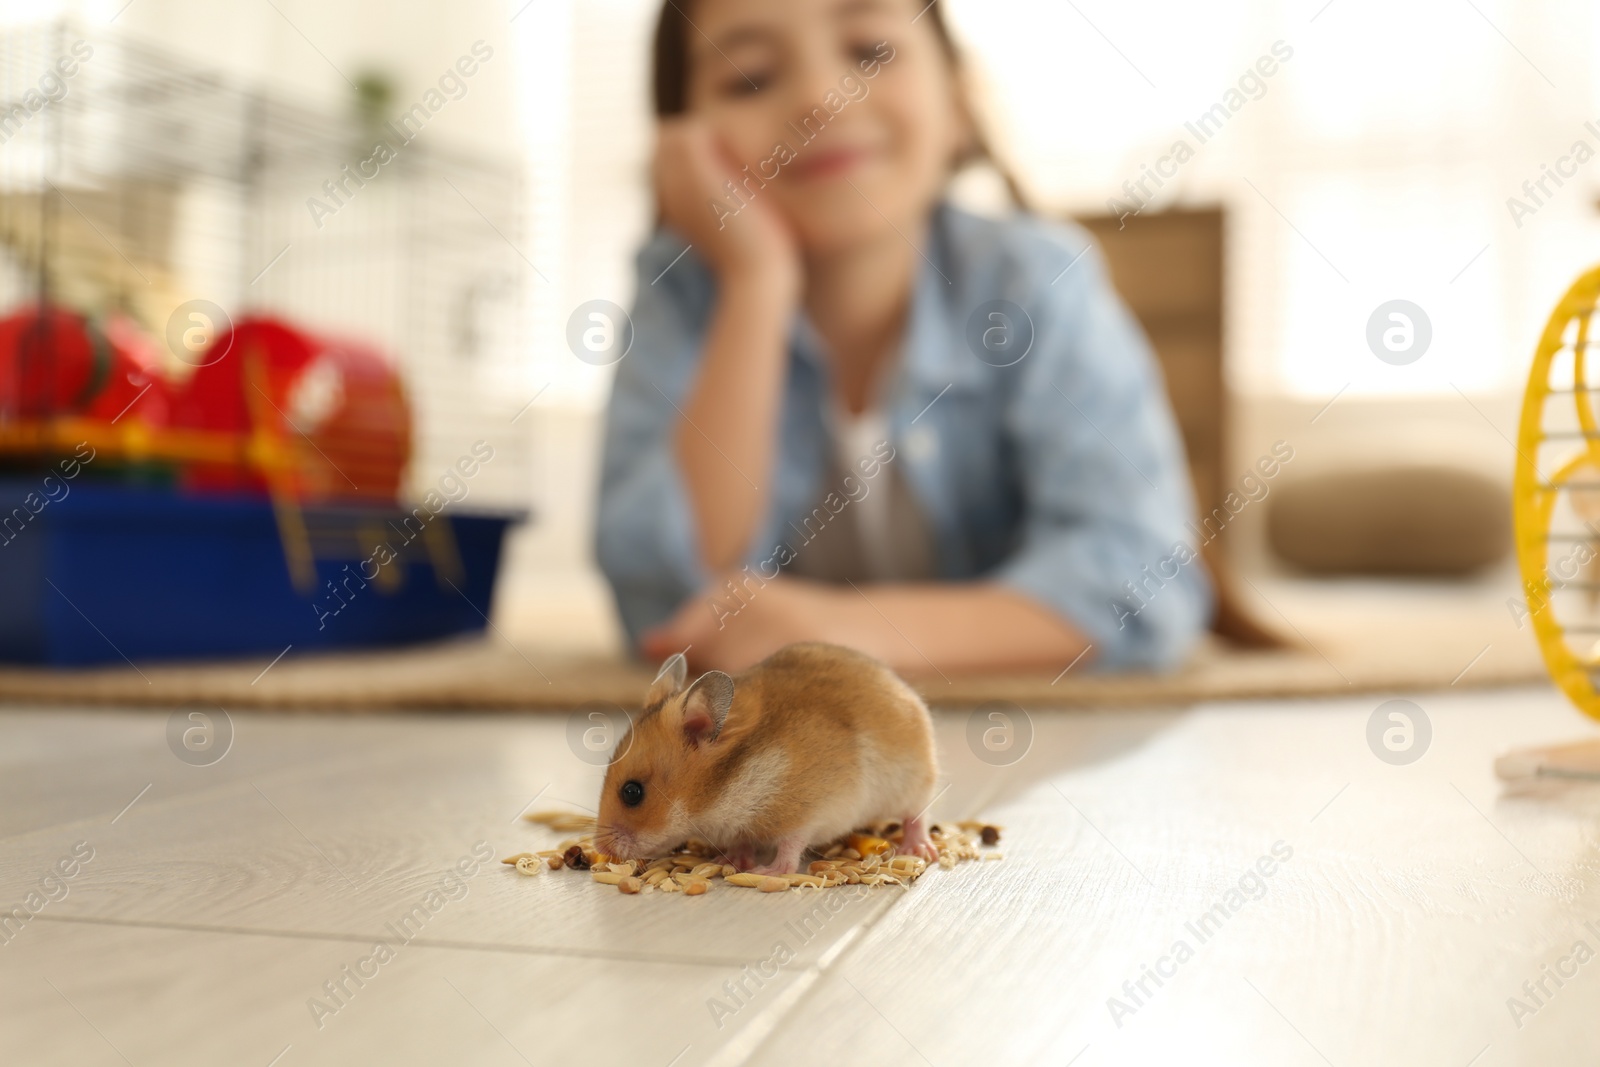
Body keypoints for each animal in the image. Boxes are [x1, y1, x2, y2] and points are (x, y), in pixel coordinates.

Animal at [598, 643, 934, 876]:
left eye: (632, 792)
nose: (601, 848)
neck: (720, 794)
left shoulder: (814, 810)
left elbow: (791, 844)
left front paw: (767, 871)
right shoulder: (737, 825)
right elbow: (742, 842)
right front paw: (730, 860)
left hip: (915, 781)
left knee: (916, 815)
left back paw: (919, 848)